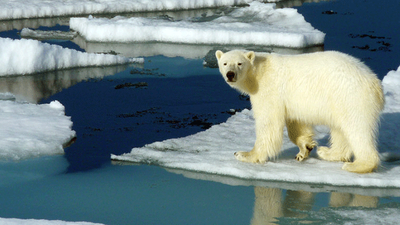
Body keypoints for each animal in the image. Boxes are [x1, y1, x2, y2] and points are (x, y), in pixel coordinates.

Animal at [216, 50, 384, 174]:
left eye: (239, 63)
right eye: (225, 63)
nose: (230, 74)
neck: (259, 72)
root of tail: (375, 83)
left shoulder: (268, 90)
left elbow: (268, 124)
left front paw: (246, 154)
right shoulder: (290, 100)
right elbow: (297, 123)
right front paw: (304, 149)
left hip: (350, 96)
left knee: (357, 129)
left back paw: (357, 165)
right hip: (339, 101)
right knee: (340, 128)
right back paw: (327, 152)